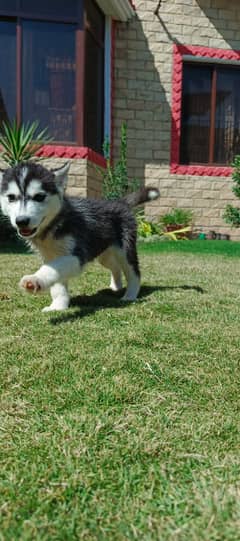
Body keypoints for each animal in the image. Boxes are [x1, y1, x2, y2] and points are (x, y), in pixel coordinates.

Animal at [0, 160, 160, 310]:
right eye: (11, 197)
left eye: (39, 197)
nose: (21, 221)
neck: (54, 226)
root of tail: (120, 202)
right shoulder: (50, 256)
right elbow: (57, 281)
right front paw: (58, 306)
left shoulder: (77, 256)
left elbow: (52, 268)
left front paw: (35, 280)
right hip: (104, 253)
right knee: (115, 267)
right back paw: (116, 286)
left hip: (124, 250)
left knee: (133, 272)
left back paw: (130, 295)